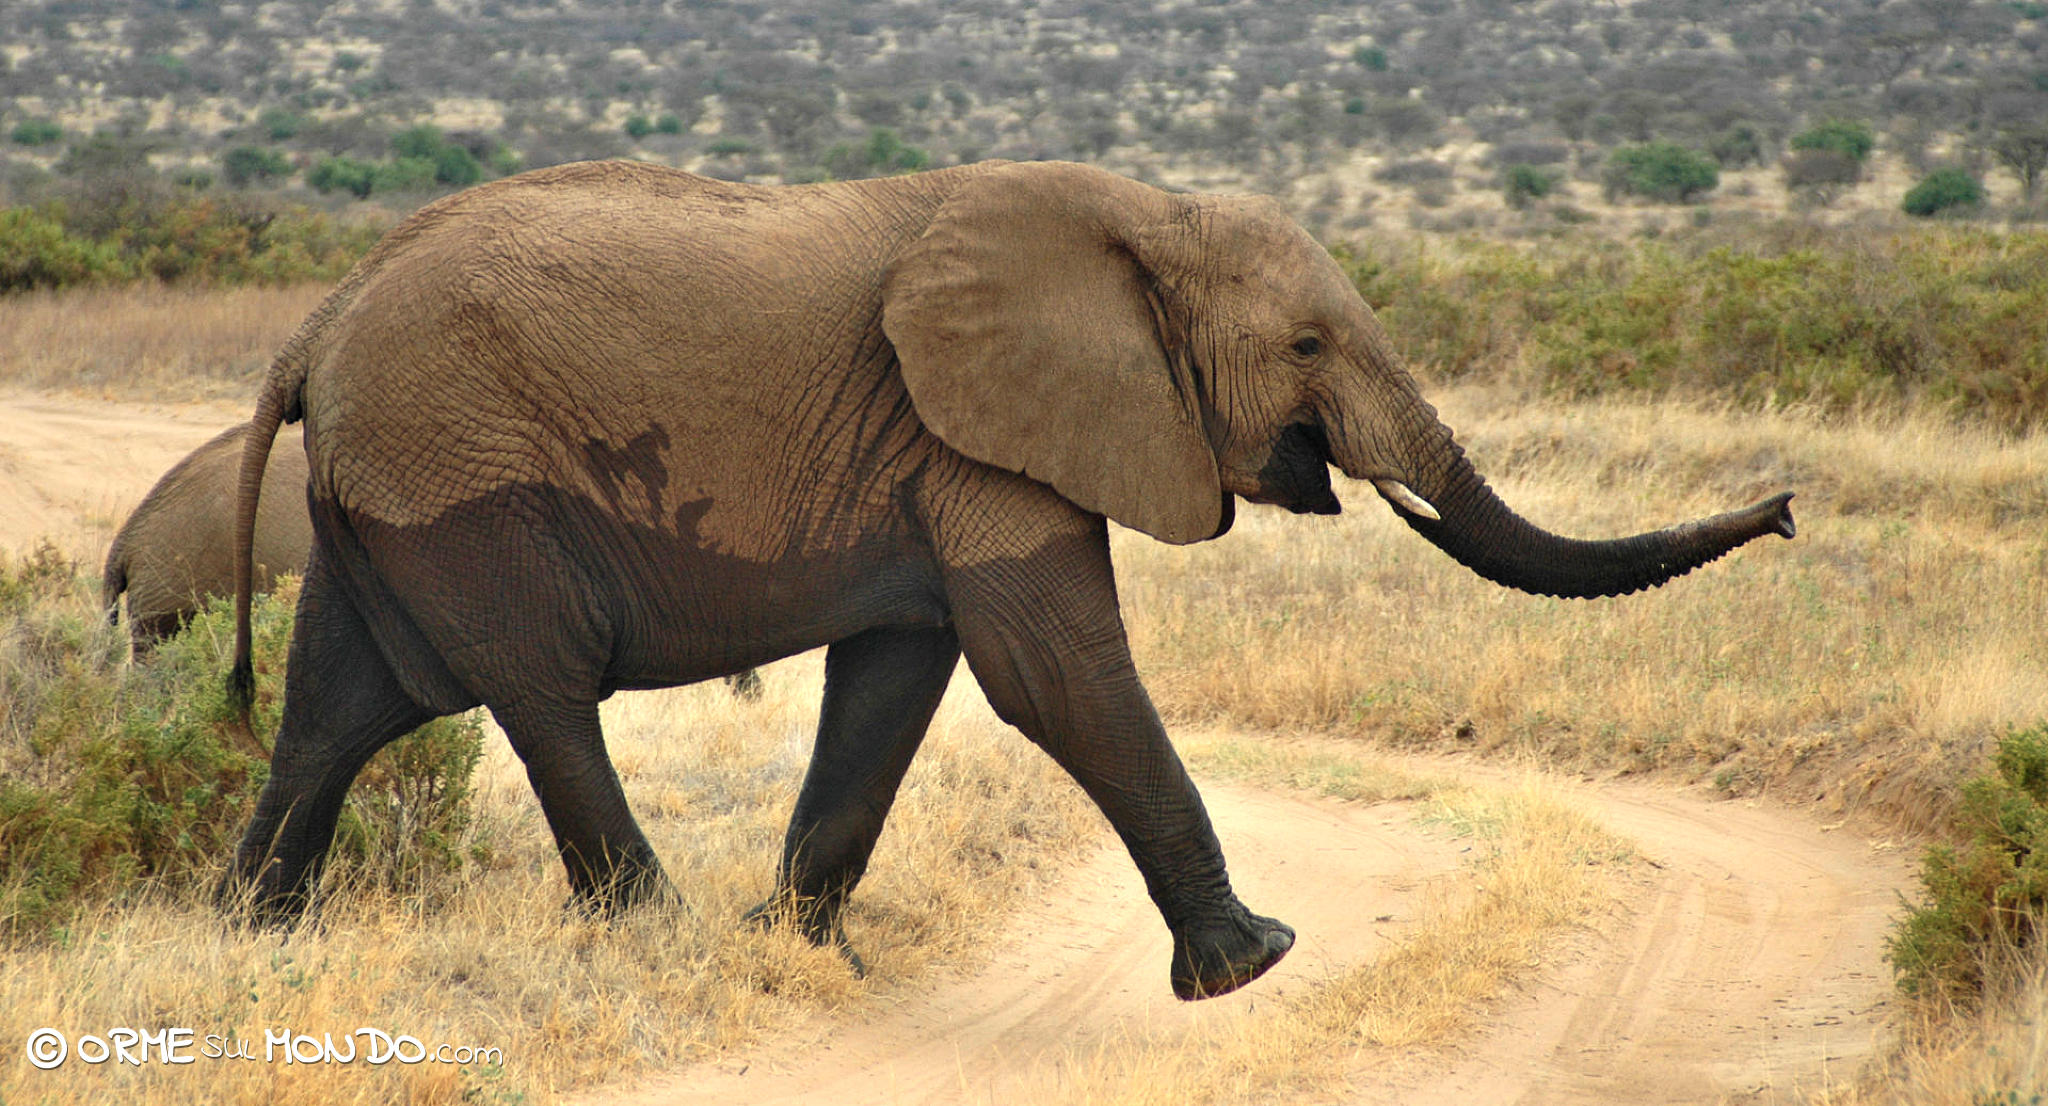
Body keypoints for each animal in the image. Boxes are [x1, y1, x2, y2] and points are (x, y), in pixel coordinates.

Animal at [220, 161, 1794, 1003]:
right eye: (1303, 348)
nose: (1785, 508)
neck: (1146, 215)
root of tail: (314, 324)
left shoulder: (934, 448)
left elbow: (897, 680)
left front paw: (813, 961)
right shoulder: (974, 430)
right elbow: (1055, 674)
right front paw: (1258, 962)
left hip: (391, 492)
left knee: (336, 709)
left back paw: (252, 942)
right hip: (461, 474)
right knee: (541, 694)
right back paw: (659, 946)